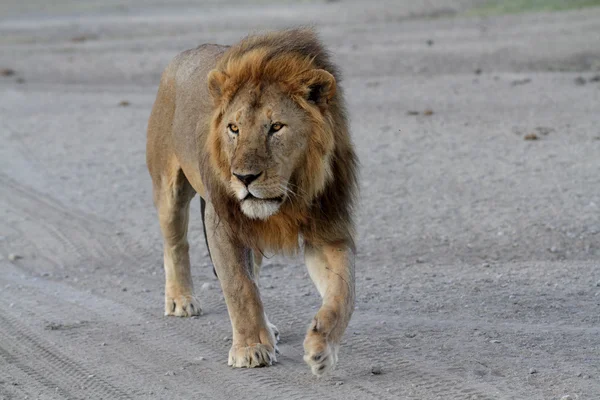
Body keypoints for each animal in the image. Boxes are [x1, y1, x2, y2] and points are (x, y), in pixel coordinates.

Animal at [148, 28, 358, 376]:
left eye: (276, 127)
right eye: (234, 128)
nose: (244, 177)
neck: (292, 194)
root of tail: (183, 55)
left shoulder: (327, 227)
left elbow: (344, 292)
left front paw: (323, 346)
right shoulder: (223, 223)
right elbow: (239, 286)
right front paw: (250, 349)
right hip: (169, 187)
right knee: (176, 243)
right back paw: (181, 299)